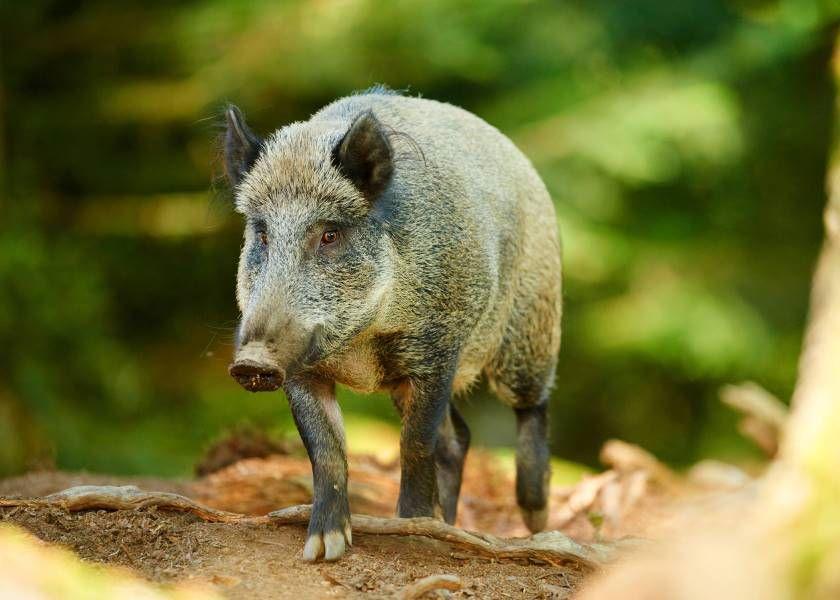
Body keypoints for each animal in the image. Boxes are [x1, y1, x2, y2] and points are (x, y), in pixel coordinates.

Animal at [223, 87, 562, 562]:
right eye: (263, 233)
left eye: (330, 234)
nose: (251, 361)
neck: (359, 343)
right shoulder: (302, 371)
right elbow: (326, 450)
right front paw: (322, 549)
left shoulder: (437, 349)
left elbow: (415, 445)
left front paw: (412, 529)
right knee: (458, 438)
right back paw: (450, 525)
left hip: (533, 321)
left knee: (530, 405)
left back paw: (534, 518)